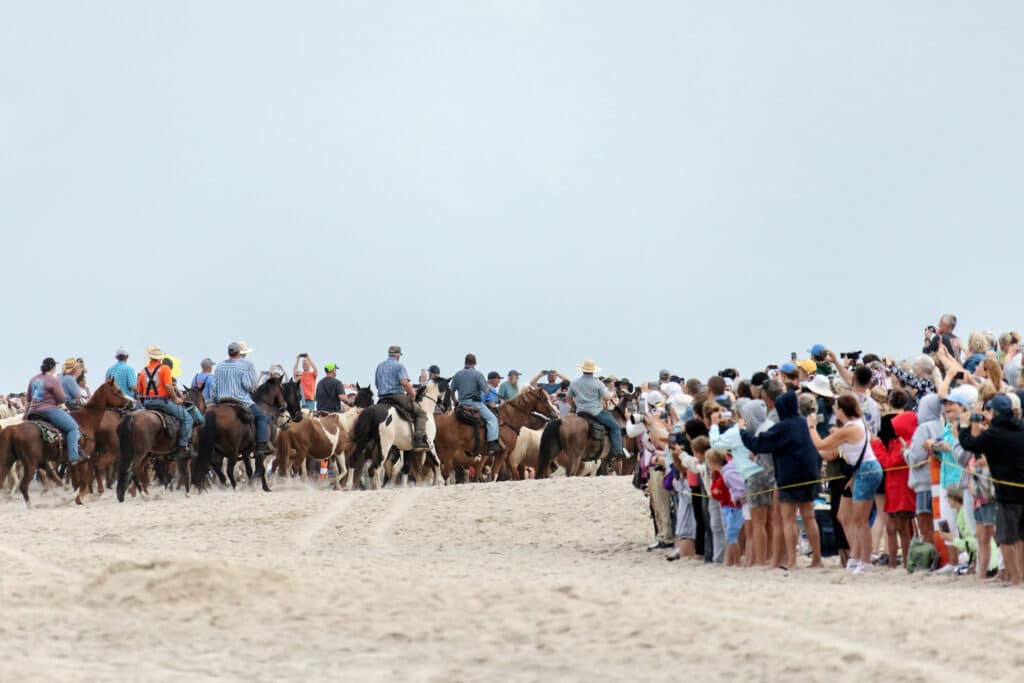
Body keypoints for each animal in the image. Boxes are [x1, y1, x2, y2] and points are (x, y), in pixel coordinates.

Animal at [0, 378, 134, 507]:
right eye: (118, 391)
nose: (132, 402)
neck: (86, 420)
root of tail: (13, 429)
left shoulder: (73, 462)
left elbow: (76, 481)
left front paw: (75, 499)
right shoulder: (82, 459)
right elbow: (82, 480)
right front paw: (76, 498)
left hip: (9, 460)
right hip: (30, 463)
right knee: (23, 485)